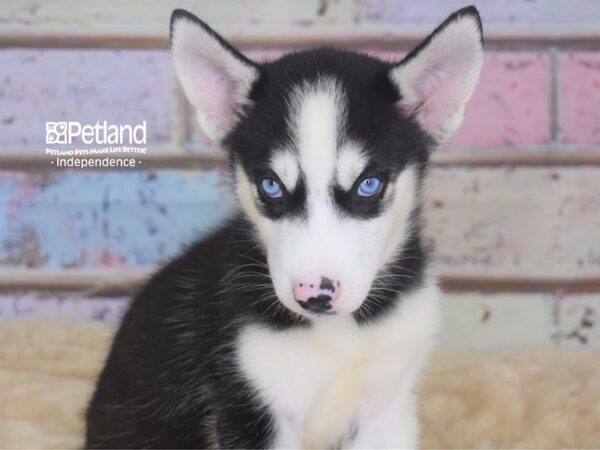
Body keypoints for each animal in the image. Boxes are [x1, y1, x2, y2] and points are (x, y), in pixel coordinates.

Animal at [86, 5, 486, 448]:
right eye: (271, 185)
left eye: (369, 184)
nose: (314, 295)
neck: (340, 336)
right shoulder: (251, 407)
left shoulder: (389, 406)